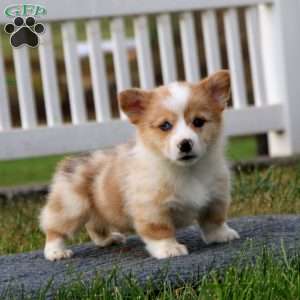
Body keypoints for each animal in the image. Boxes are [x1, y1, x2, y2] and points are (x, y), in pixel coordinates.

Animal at [39, 69, 239, 260]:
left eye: (198, 121)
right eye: (165, 126)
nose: (185, 144)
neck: (188, 170)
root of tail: (71, 161)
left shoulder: (216, 197)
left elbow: (214, 221)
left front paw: (221, 236)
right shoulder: (152, 208)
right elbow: (160, 231)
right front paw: (169, 249)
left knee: (95, 226)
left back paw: (109, 239)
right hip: (71, 207)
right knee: (54, 229)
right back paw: (56, 252)